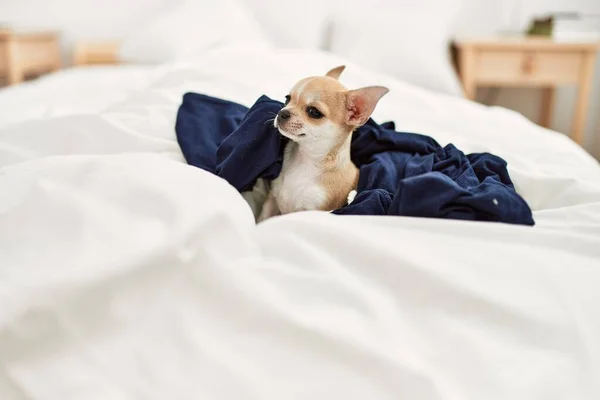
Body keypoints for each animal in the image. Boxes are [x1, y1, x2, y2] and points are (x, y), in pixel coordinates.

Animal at [256, 65, 390, 222]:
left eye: (314, 112)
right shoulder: (272, 200)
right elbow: (262, 219)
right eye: (287, 99)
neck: (305, 160)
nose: (282, 113)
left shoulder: (311, 211)